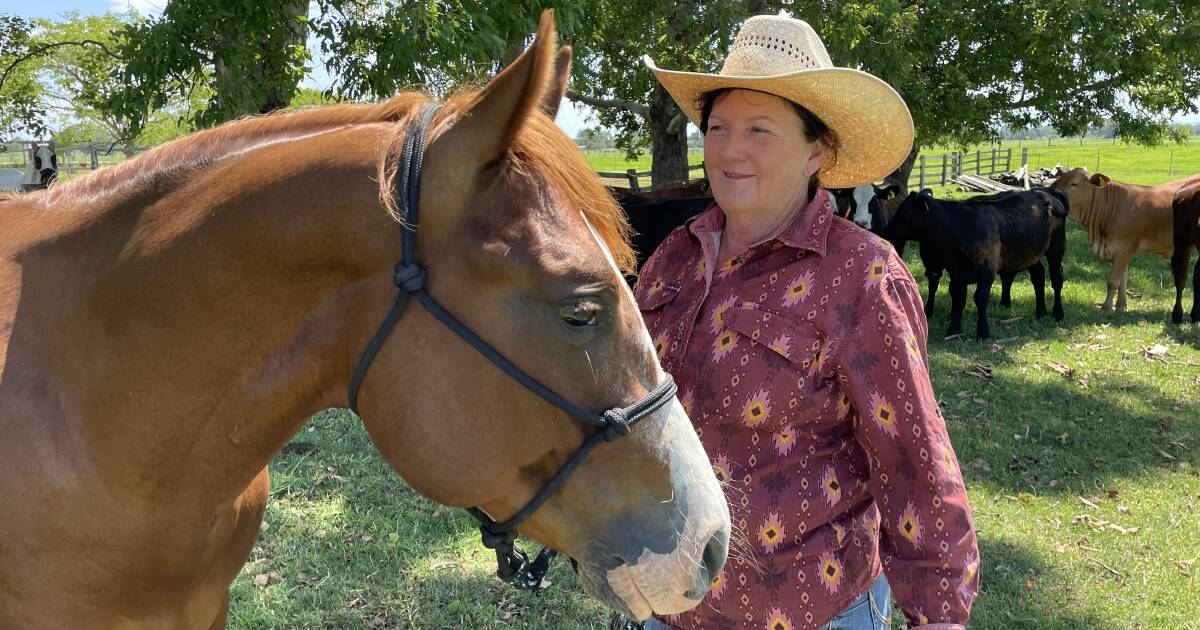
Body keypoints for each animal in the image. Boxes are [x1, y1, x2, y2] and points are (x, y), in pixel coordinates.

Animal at [883, 187, 1070, 338]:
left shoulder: (987, 271)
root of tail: (1047, 192)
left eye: (903, 212)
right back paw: (1041, 311)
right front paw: (954, 330)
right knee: (1038, 276)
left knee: (1056, 278)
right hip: (1031, 254)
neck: (960, 226)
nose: (886, 231)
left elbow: (980, 298)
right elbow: (958, 299)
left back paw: (1058, 313)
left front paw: (983, 332)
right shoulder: (956, 272)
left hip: (1057, 248)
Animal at [1051, 169, 1200, 312]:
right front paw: (1121, 306)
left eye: (1074, 184)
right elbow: (1122, 281)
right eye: (1059, 180)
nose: (1052, 193)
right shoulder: (1119, 251)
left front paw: (1106, 308)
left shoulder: (1124, 249)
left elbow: (1113, 281)